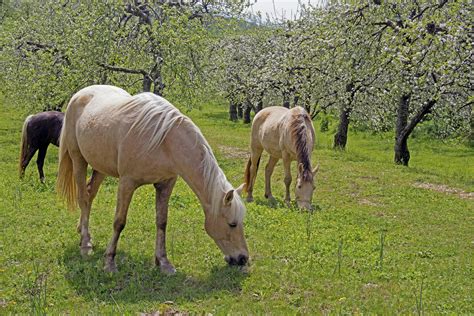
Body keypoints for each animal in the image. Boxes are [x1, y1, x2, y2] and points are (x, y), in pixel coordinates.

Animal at [57, 84, 250, 274]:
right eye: (232, 224)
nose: (243, 258)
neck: (163, 142)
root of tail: (80, 93)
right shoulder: (127, 183)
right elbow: (119, 222)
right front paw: (109, 262)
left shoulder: (165, 184)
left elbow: (162, 222)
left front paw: (163, 262)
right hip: (78, 160)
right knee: (83, 198)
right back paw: (85, 244)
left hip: (100, 167)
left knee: (90, 195)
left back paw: (85, 233)